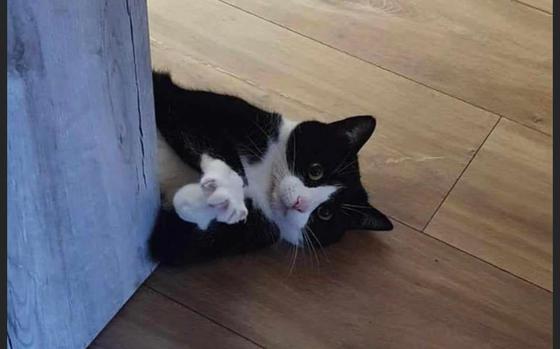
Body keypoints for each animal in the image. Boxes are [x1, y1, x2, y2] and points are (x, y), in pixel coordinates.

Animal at [150, 72, 394, 266]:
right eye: (316, 171)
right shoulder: (197, 107)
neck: (263, 182)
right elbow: (204, 135)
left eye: (325, 213)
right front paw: (229, 190)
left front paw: (202, 201)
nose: (299, 203)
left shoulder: (245, 235)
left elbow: (172, 241)